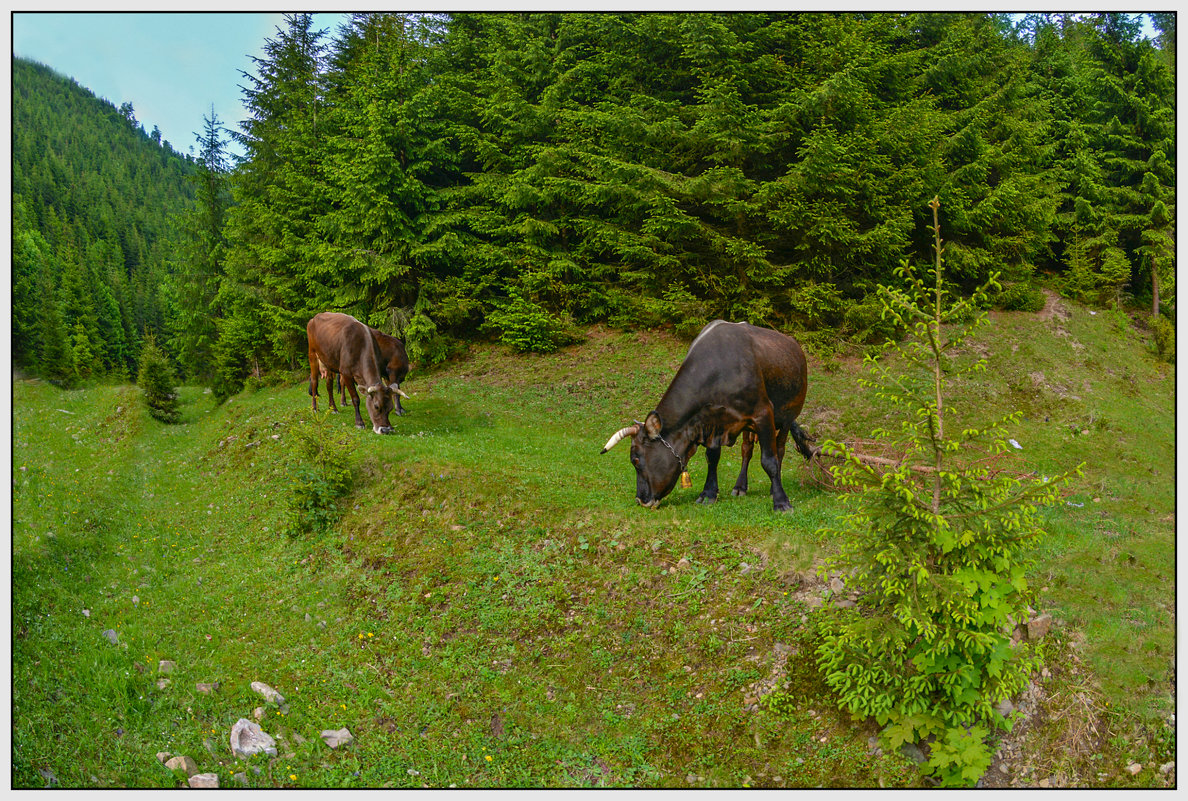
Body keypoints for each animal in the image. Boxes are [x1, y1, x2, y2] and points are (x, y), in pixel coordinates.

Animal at [598, 320, 812, 511]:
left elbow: (769, 461)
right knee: (746, 450)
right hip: (749, 427)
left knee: (780, 450)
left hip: (787, 416)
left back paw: (772, 490)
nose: (641, 500)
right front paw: (708, 493)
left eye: (635, 460)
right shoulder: (713, 422)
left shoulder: (763, 413)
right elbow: (712, 457)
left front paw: (781, 502)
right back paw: (740, 486)